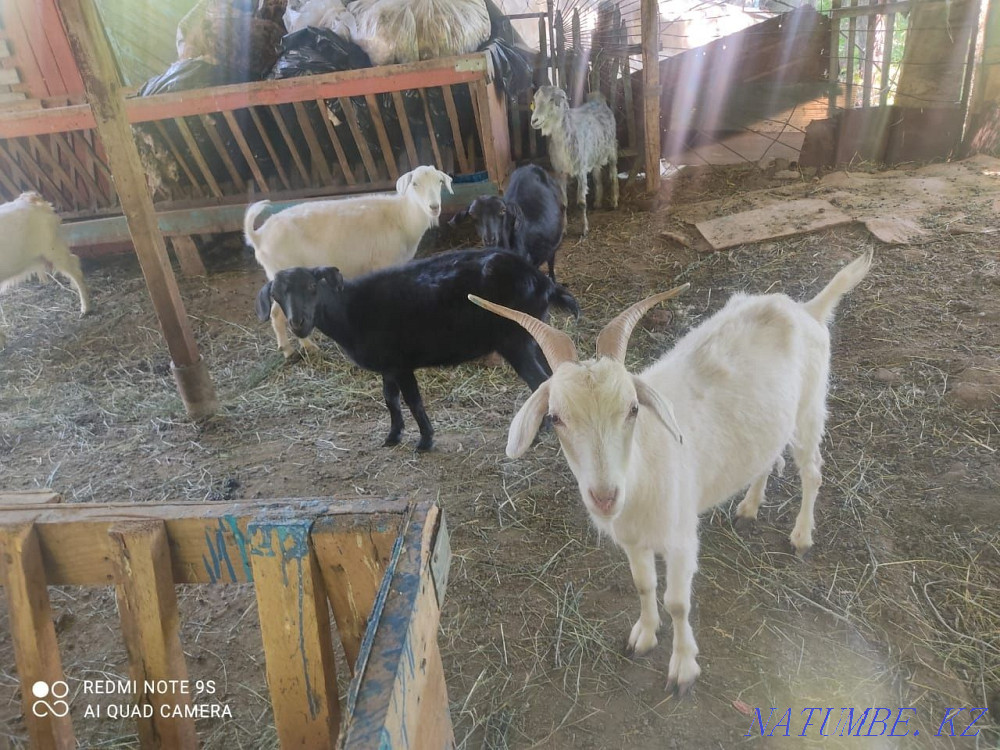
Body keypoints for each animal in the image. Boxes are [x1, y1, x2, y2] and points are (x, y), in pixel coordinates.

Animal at [244, 165, 453, 357]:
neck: (401, 216)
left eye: (440, 182)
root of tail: (258, 235)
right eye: (415, 183)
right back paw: (296, 349)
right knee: (278, 314)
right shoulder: (382, 262)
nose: (434, 207)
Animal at [255, 248, 580, 451]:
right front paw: (393, 436)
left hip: (516, 340)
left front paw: (424, 441)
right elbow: (390, 400)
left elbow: (413, 401)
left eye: (312, 288)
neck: (349, 310)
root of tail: (543, 282)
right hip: (533, 334)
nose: (298, 323)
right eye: (276, 295)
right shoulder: (387, 365)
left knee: (539, 381)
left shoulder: (400, 363)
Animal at [471, 251, 873, 694]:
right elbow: (644, 585)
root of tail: (807, 309)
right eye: (556, 417)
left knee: (812, 472)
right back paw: (749, 507)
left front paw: (683, 668)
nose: (605, 497)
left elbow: (678, 603)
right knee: (766, 457)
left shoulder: (681, 537)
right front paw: (644, 636)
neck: (641, 467)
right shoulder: (632, 538)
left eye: (632, 408)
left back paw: (801, 536)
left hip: (809, 410)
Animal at [530, 86, 618, 237]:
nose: (534, 120)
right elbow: (563, 204)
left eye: (552, 99)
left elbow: (581, 203)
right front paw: (563, 229)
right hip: (593, 155)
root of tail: (598, 99)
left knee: (613, 174)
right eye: (535, 100)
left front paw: (584, 230)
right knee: (597, 177)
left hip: (611, 148)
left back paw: (614, 202)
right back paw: (598, 202)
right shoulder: (560, 172)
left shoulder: (581, 171)